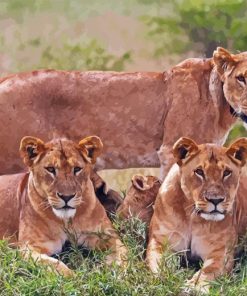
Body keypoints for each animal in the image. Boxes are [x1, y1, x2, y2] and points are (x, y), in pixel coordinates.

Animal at [0, 135, 127, 276]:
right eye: (50, 169)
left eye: (77, 169)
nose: (67, 197)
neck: (66, 220)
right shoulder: (29, 247)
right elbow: (54, 264)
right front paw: (74, 278)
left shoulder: (107, 235)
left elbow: (121, 252)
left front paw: (116, 272)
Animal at [147, 137, 247, 294]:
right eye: (199, 172)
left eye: (226, 173)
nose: (215, 200)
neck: (193, 217)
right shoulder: (160, 242)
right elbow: (158, 264)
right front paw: (161, 281)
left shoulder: (220, 253)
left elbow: (207, 272)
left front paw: (193, 287)